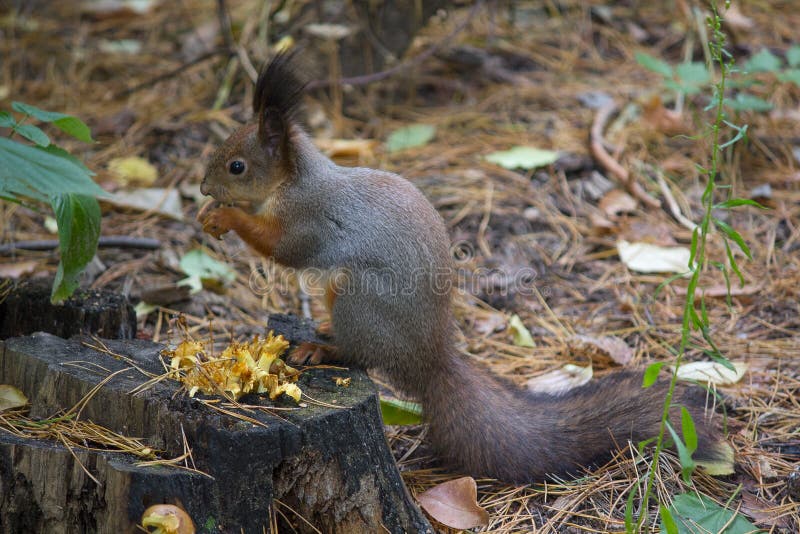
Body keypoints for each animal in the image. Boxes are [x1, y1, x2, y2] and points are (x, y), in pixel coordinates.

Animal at [198, 52, 733, 484]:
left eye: (238, 166)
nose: (202, 187)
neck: (295, 182)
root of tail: (428, 357)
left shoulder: (308, 219)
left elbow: (282, 248)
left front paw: (225, 217)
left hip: (359, 299)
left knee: (360, 354)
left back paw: (321, 348)